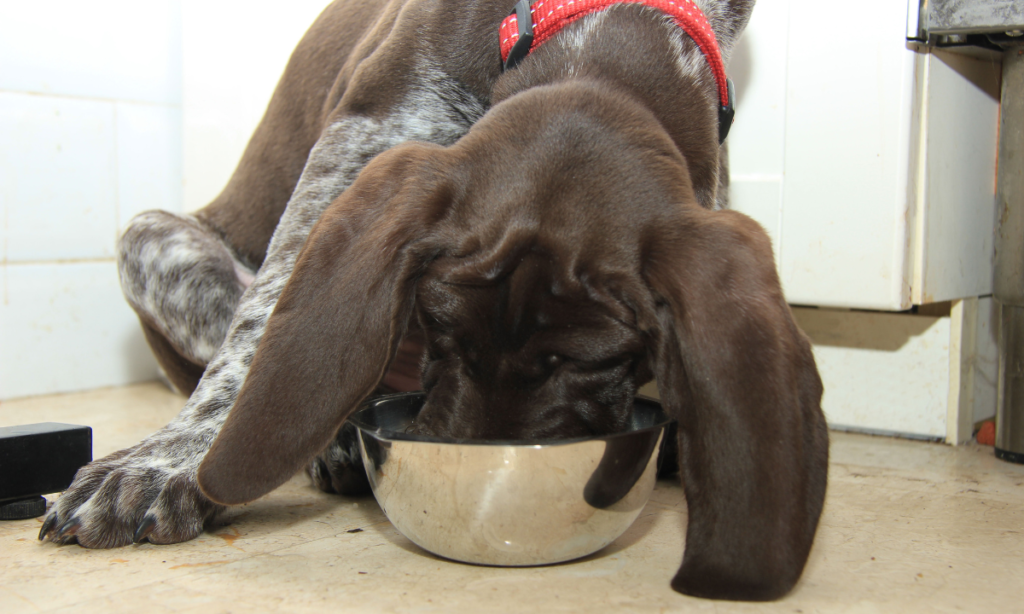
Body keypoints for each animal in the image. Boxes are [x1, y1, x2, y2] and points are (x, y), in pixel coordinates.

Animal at [37, 0, 831, 601]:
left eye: (600, 359)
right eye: (438, 322)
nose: (481, 469)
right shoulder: (362, 143)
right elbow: (258, 328)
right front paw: (168, 465)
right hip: (152, 237)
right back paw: (327, 446)